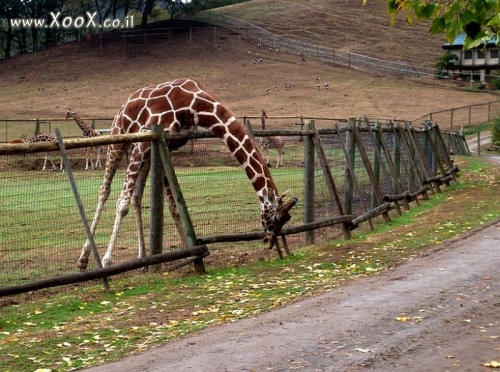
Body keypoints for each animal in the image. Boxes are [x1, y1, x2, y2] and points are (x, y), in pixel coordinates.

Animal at [77, 79, 296, 270]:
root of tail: (124, 105)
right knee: (105, 190)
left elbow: (174, 205)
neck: (195, 105)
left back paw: (142, 258)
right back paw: (84, 259)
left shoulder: (167, 144)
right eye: (275, 217)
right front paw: (107, 260)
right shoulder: (145, 141)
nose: (269, 240)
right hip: (119, 139)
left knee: (137, 196)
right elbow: (122, 203)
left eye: (287, 219)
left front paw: (190, 253)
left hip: (143, 152)